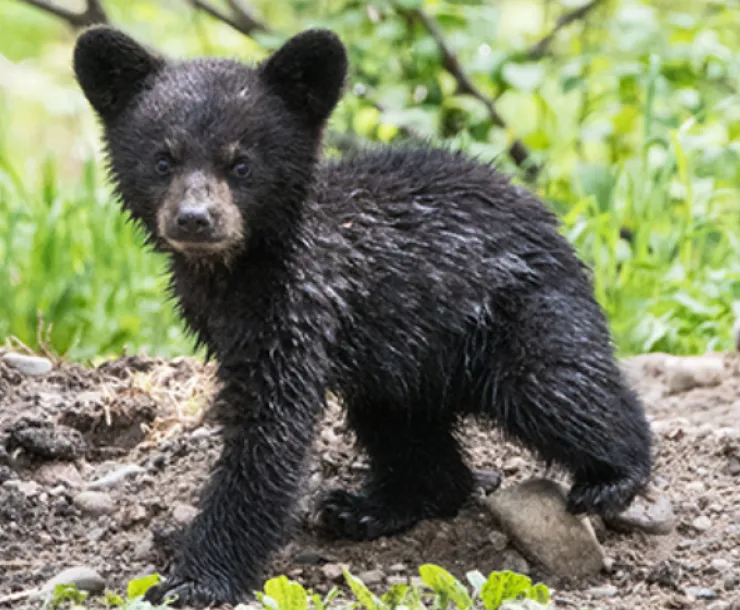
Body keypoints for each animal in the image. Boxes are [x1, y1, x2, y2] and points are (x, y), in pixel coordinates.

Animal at [72, 25, 653, 607]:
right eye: (162, 159)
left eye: (240, 163)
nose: (195, 219)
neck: (237, 273)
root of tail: (548, 219)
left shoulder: (300, 308)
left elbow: (269, 435)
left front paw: (198, 577)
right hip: (402, 359)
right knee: (404, 429)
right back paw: (369, 508)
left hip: (517, 308)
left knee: (558, 385)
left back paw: (615, 474)